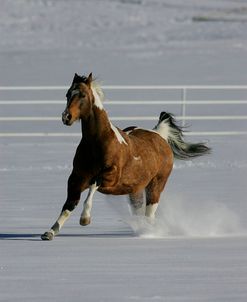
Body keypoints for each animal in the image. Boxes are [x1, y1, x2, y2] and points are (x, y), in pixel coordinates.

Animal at [41, 73, 210, 241]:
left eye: (82, 95)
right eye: (68, 94)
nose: (66, 117)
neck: (97, 143)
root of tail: (160, 135)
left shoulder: (110, 176)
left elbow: (93, 185)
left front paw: (85, 219)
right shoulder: (76, 178)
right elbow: (69, 205)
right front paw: (50, 233)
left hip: (156, 186)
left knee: (149, 214)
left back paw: (148, 233)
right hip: (135, 191)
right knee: (139, 212)